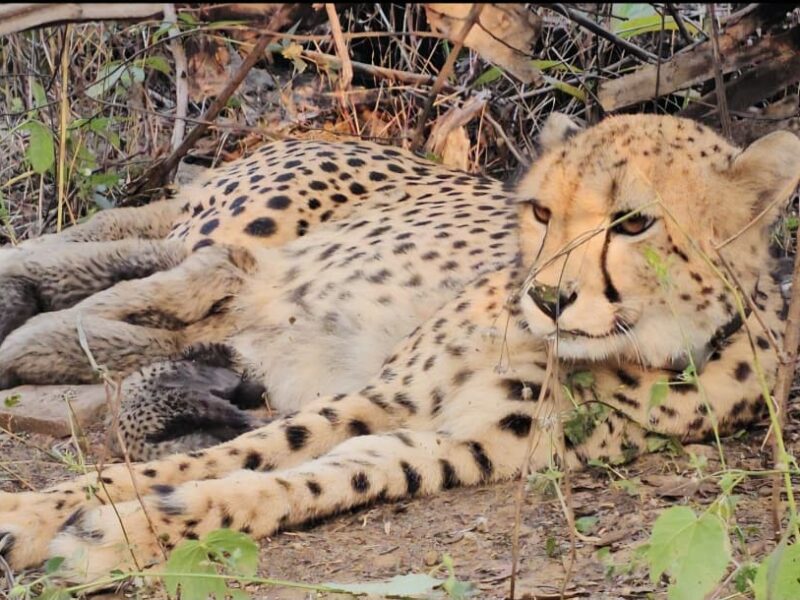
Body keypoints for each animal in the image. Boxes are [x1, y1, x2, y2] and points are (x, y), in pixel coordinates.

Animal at [0, 113, 798, 582]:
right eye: (542, 211)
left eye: (634, 222)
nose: (545, 298)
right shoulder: (385, 393)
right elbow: (226, 455)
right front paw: (35, 514)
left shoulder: (454, 445)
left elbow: (300, 480)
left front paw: (124, 531)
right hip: (249, 225)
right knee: (153, 249)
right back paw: (29, 303)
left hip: (233, 287)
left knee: (180, 294)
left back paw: (37, 327)